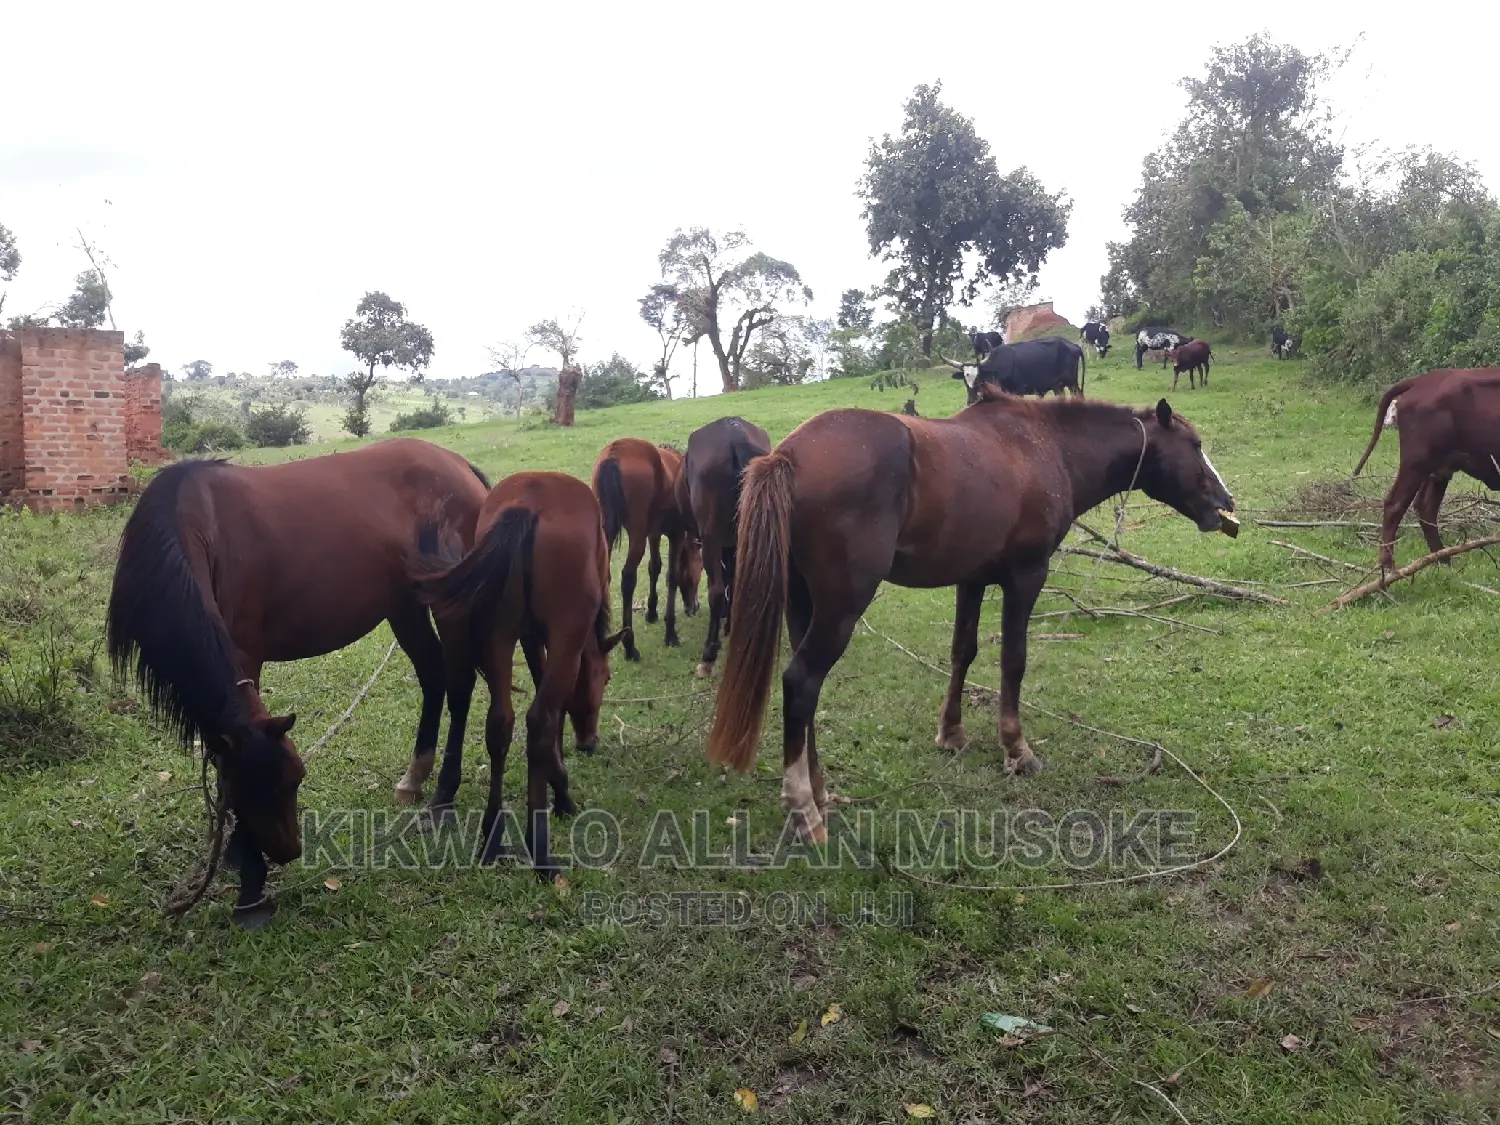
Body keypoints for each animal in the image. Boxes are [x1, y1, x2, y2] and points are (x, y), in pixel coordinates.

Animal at [106, 438, 490, 926]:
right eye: (262, 790)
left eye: (292, 783)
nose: (288, 852)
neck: (197, 524)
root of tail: (459, 466)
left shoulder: (245, 653)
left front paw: (249, 889)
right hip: (405, 607)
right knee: (433, 677)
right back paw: (414, 778)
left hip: (450, 603)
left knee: (459, 685)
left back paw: (443, 795)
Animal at [414, 471, 627, 878]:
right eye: (606, 679)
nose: (589, 742)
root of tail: (526, 507)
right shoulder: (562, 643)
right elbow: (554, 714)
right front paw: (562, 794)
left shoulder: (527, 636)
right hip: (560, 634)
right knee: (539, 721)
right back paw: (540, 849)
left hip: (498, 632)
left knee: (500, 723)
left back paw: (492, 836)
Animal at [591, 438, 703, 660]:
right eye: (701, 568)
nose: (694, 606)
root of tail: (613, 455)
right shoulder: (676, 534)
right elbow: (672, 576)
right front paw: (670, 634)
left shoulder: (654, 533)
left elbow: (655, 567)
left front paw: (651, 612)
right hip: (637, 534)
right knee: (628, 578)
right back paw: (630, 645)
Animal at [674, 416, 772, 678]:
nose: (690, 607)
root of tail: (734, 433)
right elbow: (734, 579)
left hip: (712, 539)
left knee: (716, 590)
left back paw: (708, 654)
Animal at [705, 388, 1238, 843]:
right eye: (1194, 446)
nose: (1226, 505)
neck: (1047, 446)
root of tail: (788, 456)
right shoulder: (1026, 576)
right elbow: (1013, 661)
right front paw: (1017, 750)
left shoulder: (972, 579)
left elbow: (964, 650)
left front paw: (952, 732)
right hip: (841, 608)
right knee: (801, 682)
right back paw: (804, 810)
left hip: (802, 602)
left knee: (806, 693)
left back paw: (818, 793)